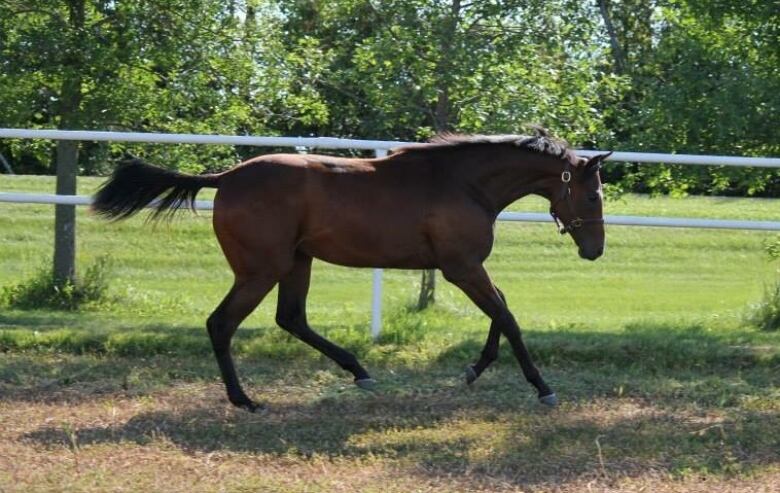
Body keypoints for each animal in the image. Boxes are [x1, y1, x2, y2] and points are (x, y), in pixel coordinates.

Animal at [94, 129, 612, 410]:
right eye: (592, 196)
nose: (595, 251)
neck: (463, 183)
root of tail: (224, 178)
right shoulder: (461, 267)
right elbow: (507, 316)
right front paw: (542, 388)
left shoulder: (466, 268)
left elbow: (500, 311)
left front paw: (473, 370)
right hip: (260, 270)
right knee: (222, 323)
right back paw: (245, 400)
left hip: (296, 263)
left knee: (291, 318)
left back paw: (359, 371)